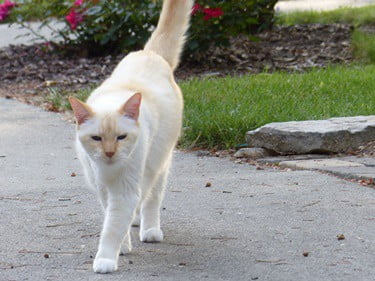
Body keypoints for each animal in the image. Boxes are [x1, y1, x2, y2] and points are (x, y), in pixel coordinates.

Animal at [69, 0, 195, 272]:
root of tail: (149, 54)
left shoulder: (125, 191)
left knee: (151, 198)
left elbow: (113, 227)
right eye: (96, 138)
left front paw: (106, 259)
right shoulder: (102, 188)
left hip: (158, 163)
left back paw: (149, 230)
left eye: (121, 137)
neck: (110, 171)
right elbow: (112, 219)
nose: (109, 153)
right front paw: (123, 246)